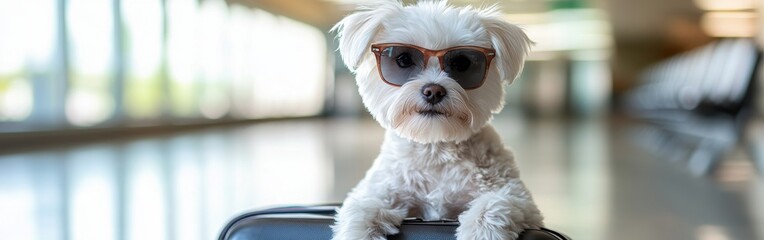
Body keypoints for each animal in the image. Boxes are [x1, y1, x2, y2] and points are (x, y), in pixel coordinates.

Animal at [332, 0, 540, 239]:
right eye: (403, 59)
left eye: (462, 63)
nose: (433, 91)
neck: (434, 148)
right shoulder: (377, 190)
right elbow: (361, 210)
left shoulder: (518, 198)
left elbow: (494, 204)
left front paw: (480, 231)